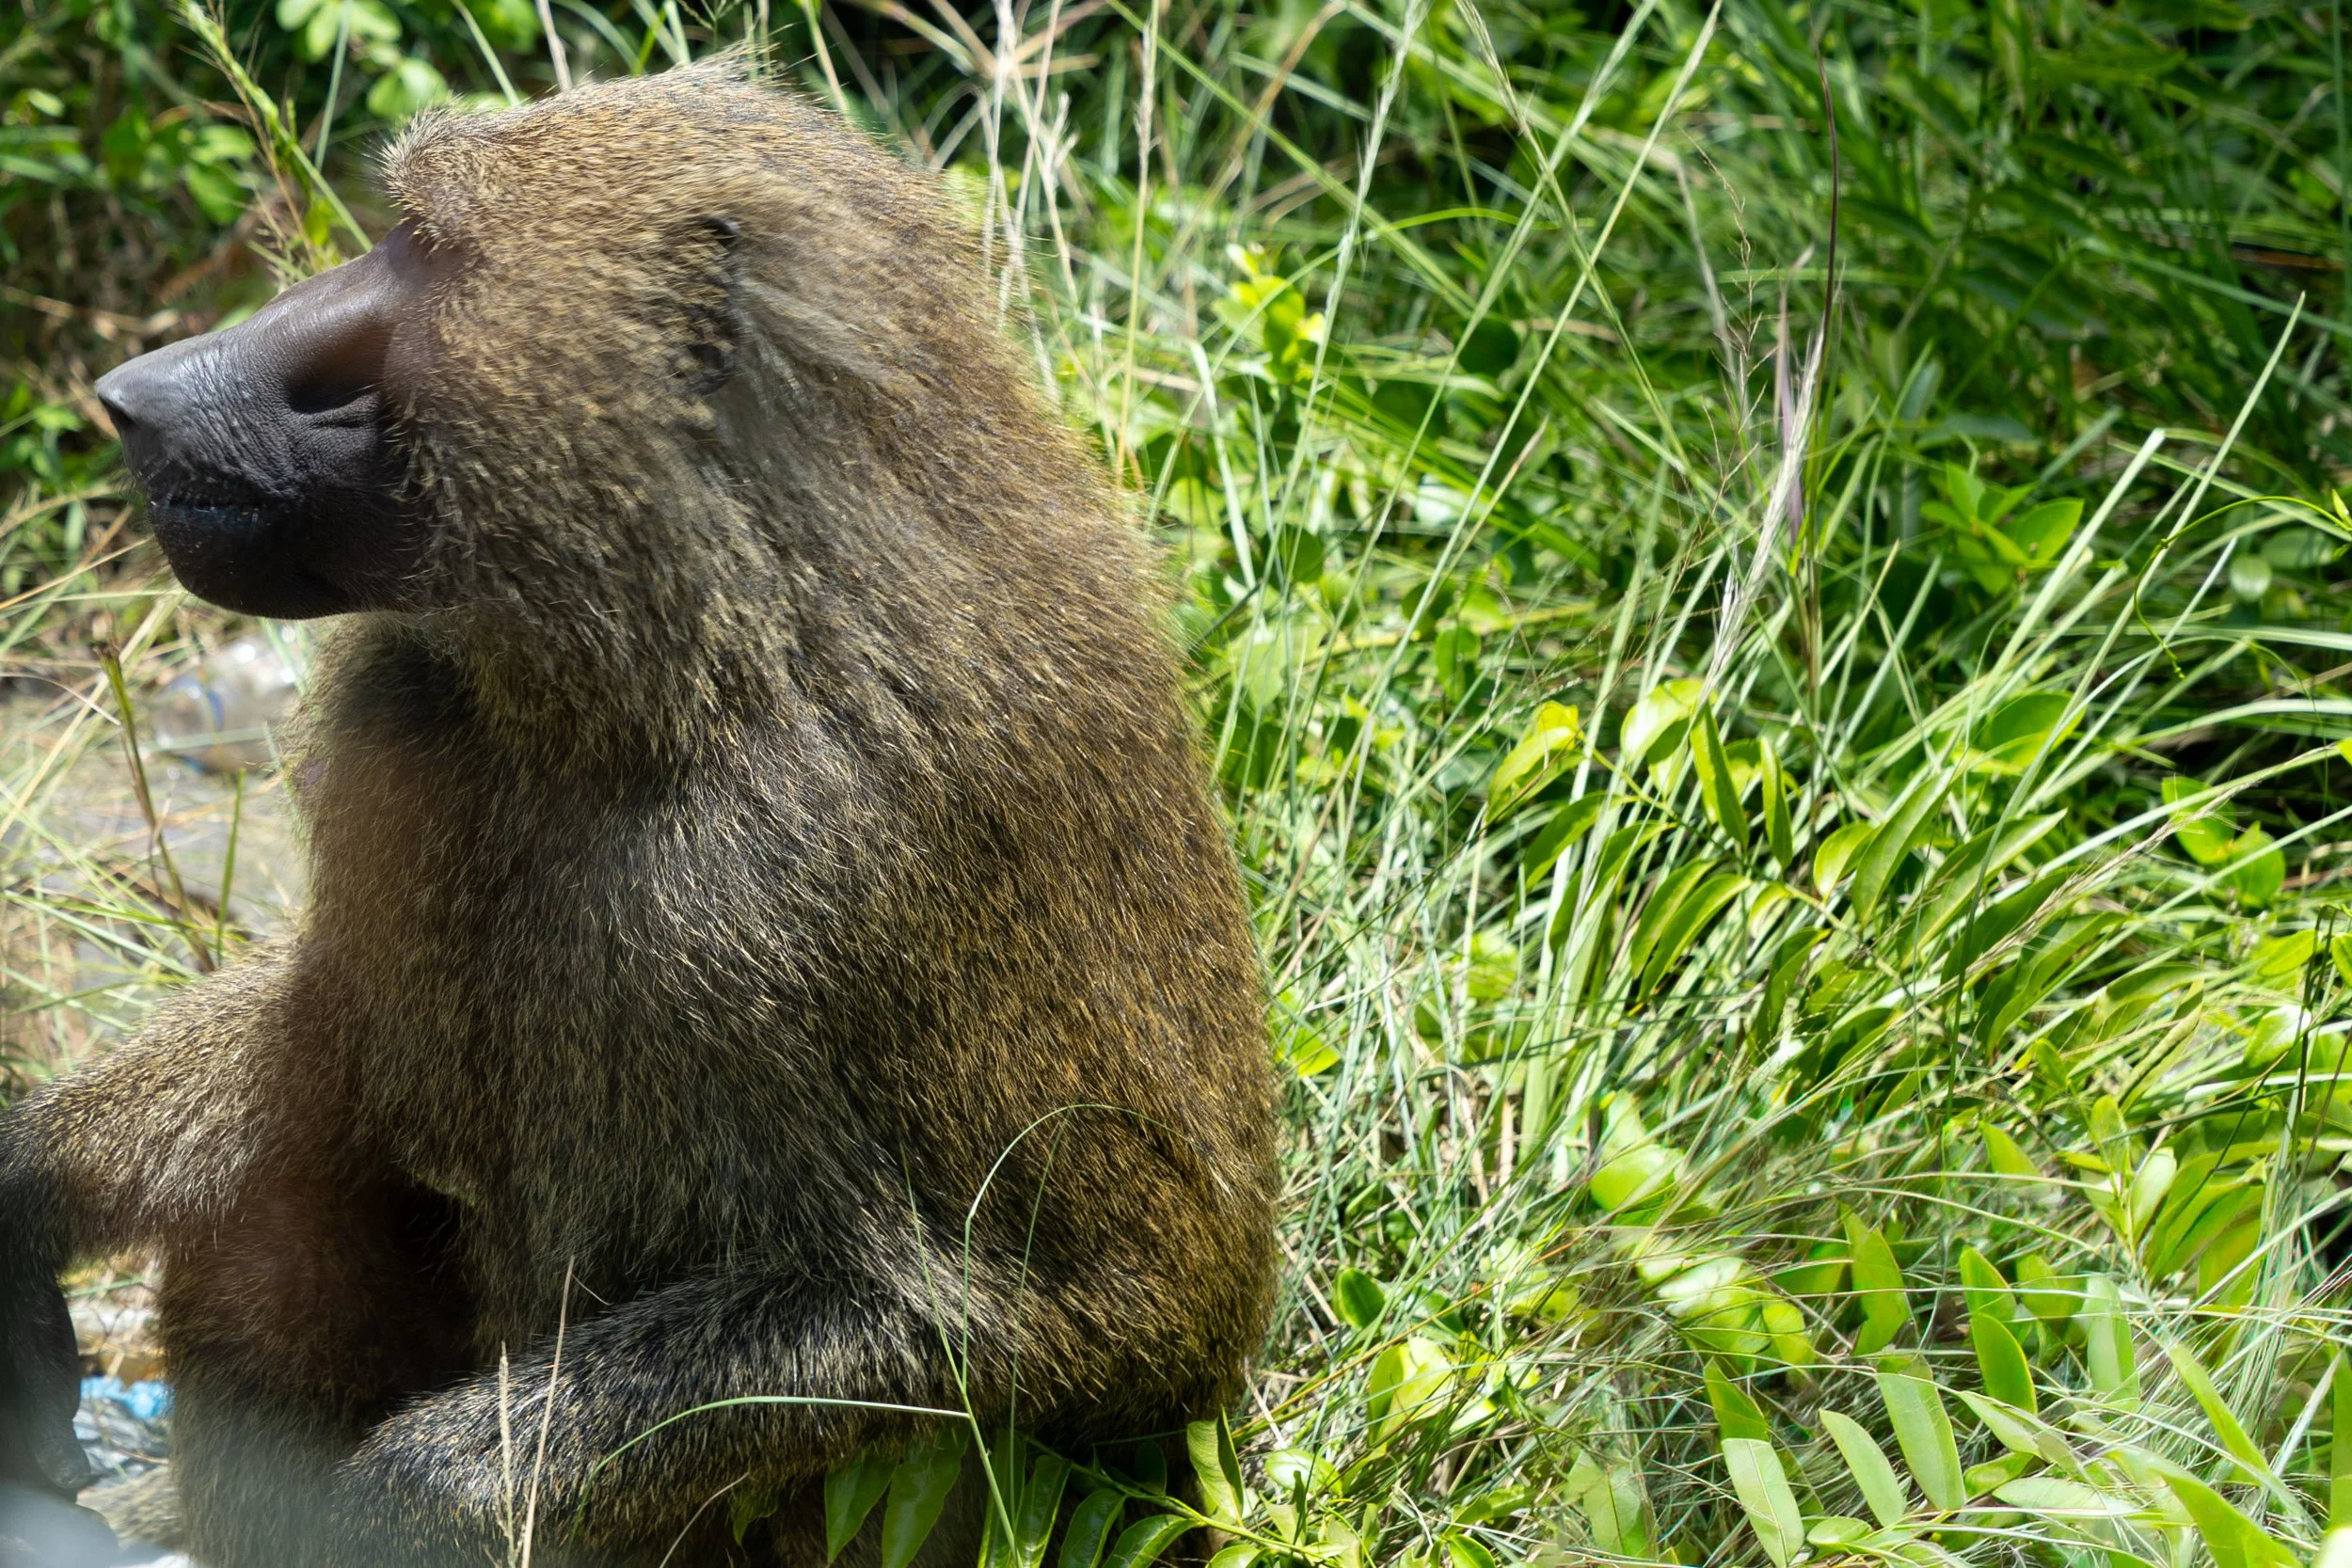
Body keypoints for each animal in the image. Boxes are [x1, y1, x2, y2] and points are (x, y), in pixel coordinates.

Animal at [0, 58, 1276, 1568]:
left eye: (422, 244)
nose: (130, 394)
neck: (702, 647)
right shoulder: (399, 718)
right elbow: (334, 1048)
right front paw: (23, 1192)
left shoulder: (767, 882)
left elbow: (1066, 1302)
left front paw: (399, 1499)